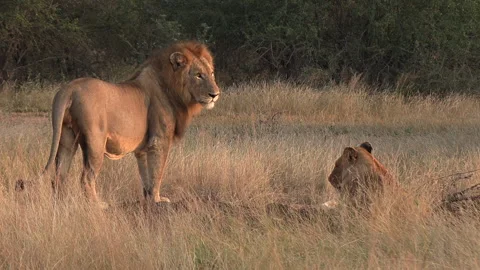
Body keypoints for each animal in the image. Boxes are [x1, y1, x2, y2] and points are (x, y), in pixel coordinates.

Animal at [42, 40, 220, 207]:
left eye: (211, 73)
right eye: (198, 75)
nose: (215, 94)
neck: (171, 87)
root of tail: (70, 88)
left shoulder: (143, 148)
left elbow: (146, 174)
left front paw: (149, 198)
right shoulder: (159, 140)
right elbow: (157, 172)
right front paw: (158, 199)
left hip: (67, 137)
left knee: (59, 175)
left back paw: (61, 203)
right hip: (95, 142)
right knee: (86, 177)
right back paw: (98, 204)